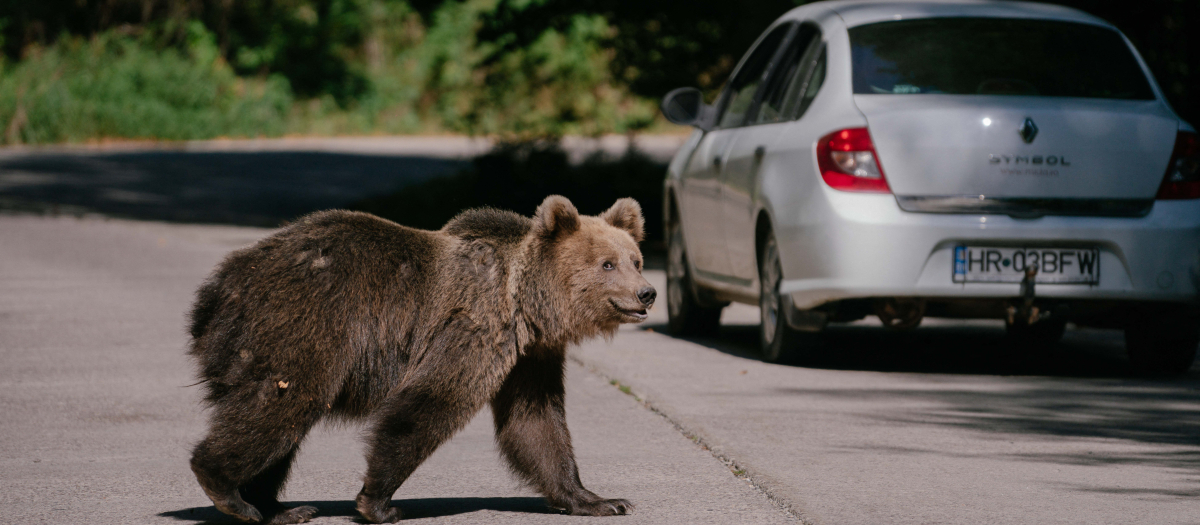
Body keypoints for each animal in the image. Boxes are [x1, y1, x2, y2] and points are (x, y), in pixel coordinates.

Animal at [187, 195, 657, 522]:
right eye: (607, 264)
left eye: (635, 259)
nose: (647, 293)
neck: (525, 304)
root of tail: (219, 287)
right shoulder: (474, 326)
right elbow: (431, 402)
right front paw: (378, 504)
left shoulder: (529, 357)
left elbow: (535, 422)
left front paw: (600, 500)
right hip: (305, 323)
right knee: (280, 405)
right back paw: (229, 491)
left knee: (282, 422)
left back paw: (278, 507)